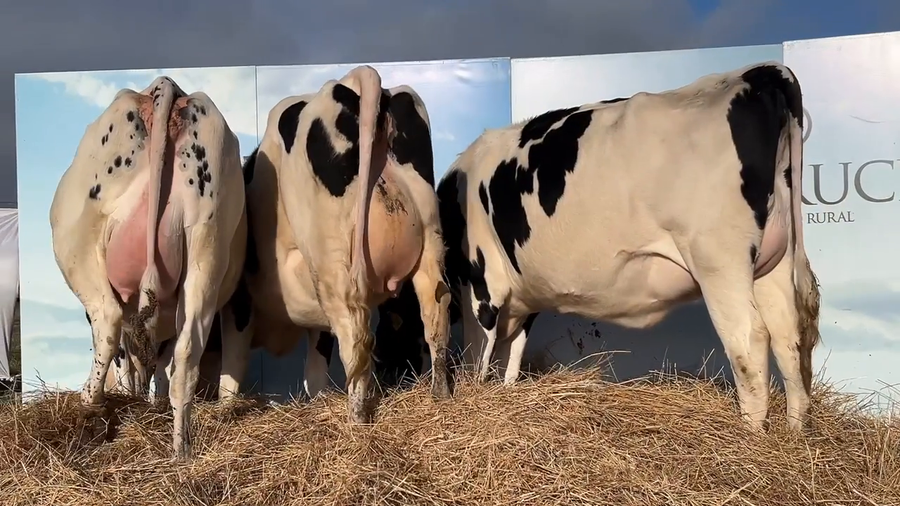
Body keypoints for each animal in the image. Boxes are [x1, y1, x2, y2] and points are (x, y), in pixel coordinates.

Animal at [49, 76, 247, 460]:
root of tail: (166, 86)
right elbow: (163, 368)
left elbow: (125, 363)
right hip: (206, 246)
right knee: (186, 356)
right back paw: (181, 452)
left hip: (80, 244)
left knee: (108, 320)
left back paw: (89, 405)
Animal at [217, 65, 451, 424]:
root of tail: (354, 80)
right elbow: (315, 370)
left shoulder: (238, 304)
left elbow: (232, 366)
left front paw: (225, 409)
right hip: (429, 238)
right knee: (435, 311)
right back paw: (441, 396)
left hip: (333, 261)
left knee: (355, 337)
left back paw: (357, 421)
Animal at [436, 61, 821, 432]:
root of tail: (759, 72)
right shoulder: (521, 299)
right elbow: (509, 361)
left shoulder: (480, 287)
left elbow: (478, 359)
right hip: (773, 261)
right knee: (789, 336)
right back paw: (793, 435)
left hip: (719, 259)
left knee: (748, 339)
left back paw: (751, 439)